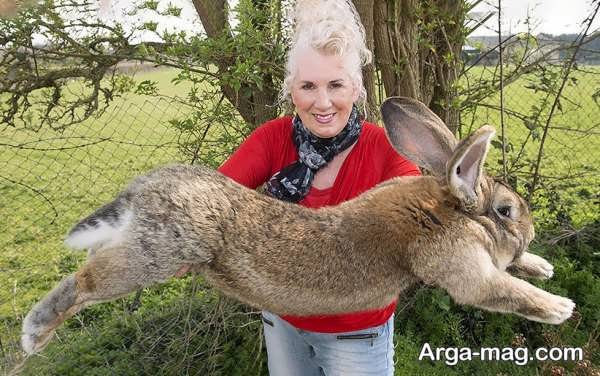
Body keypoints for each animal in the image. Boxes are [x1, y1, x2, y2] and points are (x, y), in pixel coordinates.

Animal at [21, 95, 576, 354]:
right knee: (85, 281)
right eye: (505, 211)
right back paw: (34, 334)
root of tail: (144, 190)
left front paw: (542, 266)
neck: (446, 208)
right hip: (156, 254)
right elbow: (501, 290)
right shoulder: (462, 267)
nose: (528, 231)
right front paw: (559, 306)